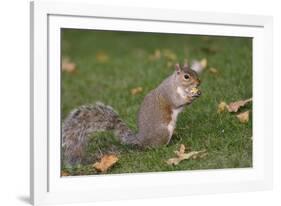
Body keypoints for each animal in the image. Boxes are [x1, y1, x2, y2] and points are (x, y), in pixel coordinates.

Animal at [62, 63, 200, 167]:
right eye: (186, 76)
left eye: (194, 71)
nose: (199, 82)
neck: (176, 84)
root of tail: (141, 140)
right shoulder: (170, 94)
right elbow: (177, 102)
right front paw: (190, 97)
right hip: (164, 132)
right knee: (156, 147)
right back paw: (169, 145)